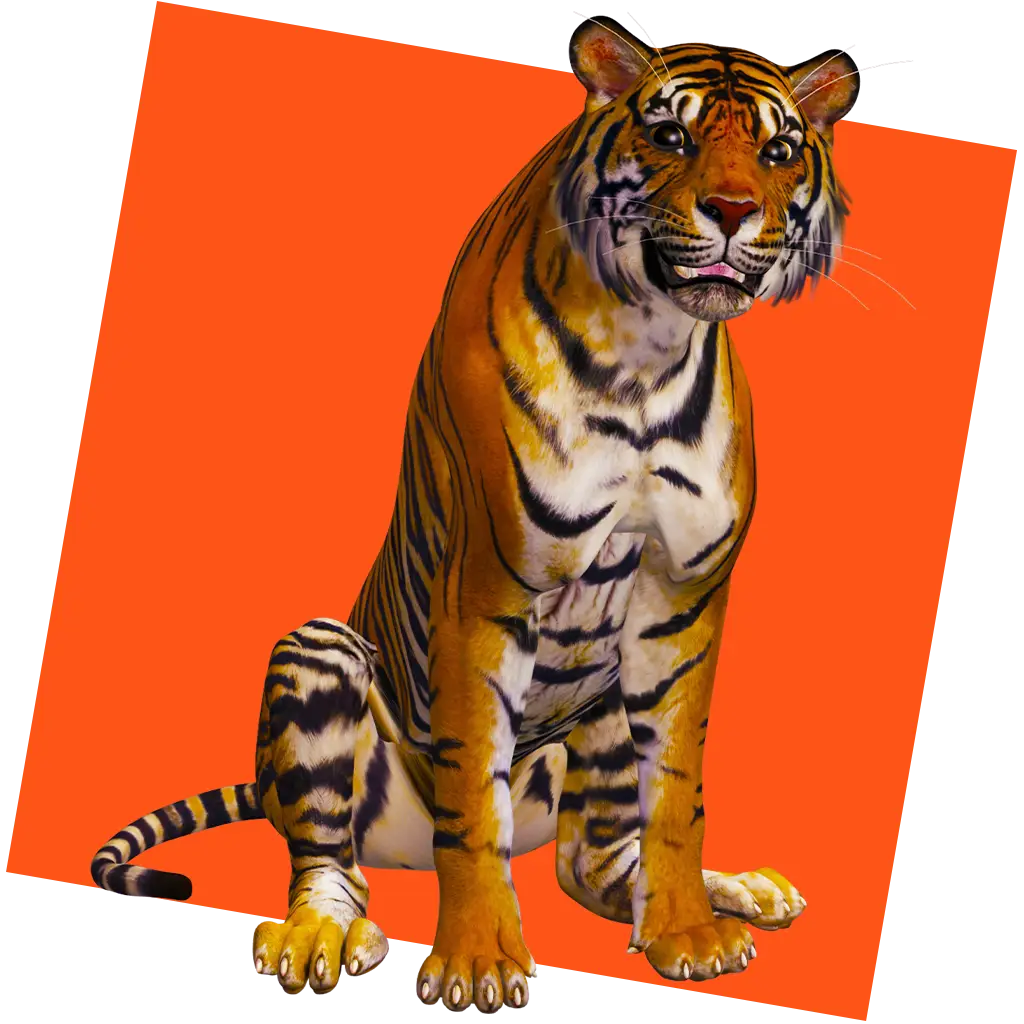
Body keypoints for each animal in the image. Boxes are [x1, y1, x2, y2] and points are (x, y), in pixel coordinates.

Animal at [90, 13, 861, 1012]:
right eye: (671, 135)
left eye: (776, 152)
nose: (731, 210)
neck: (649, 348)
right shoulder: (487, 586)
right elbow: (472, 803)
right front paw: (477, 962)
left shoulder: (681, 596)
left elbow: (677, 789)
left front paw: (690, 933)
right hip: (319, 653)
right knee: (330, 860)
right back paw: (315, 938)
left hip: (600, 716)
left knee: (592, 865)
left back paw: (743, 890)